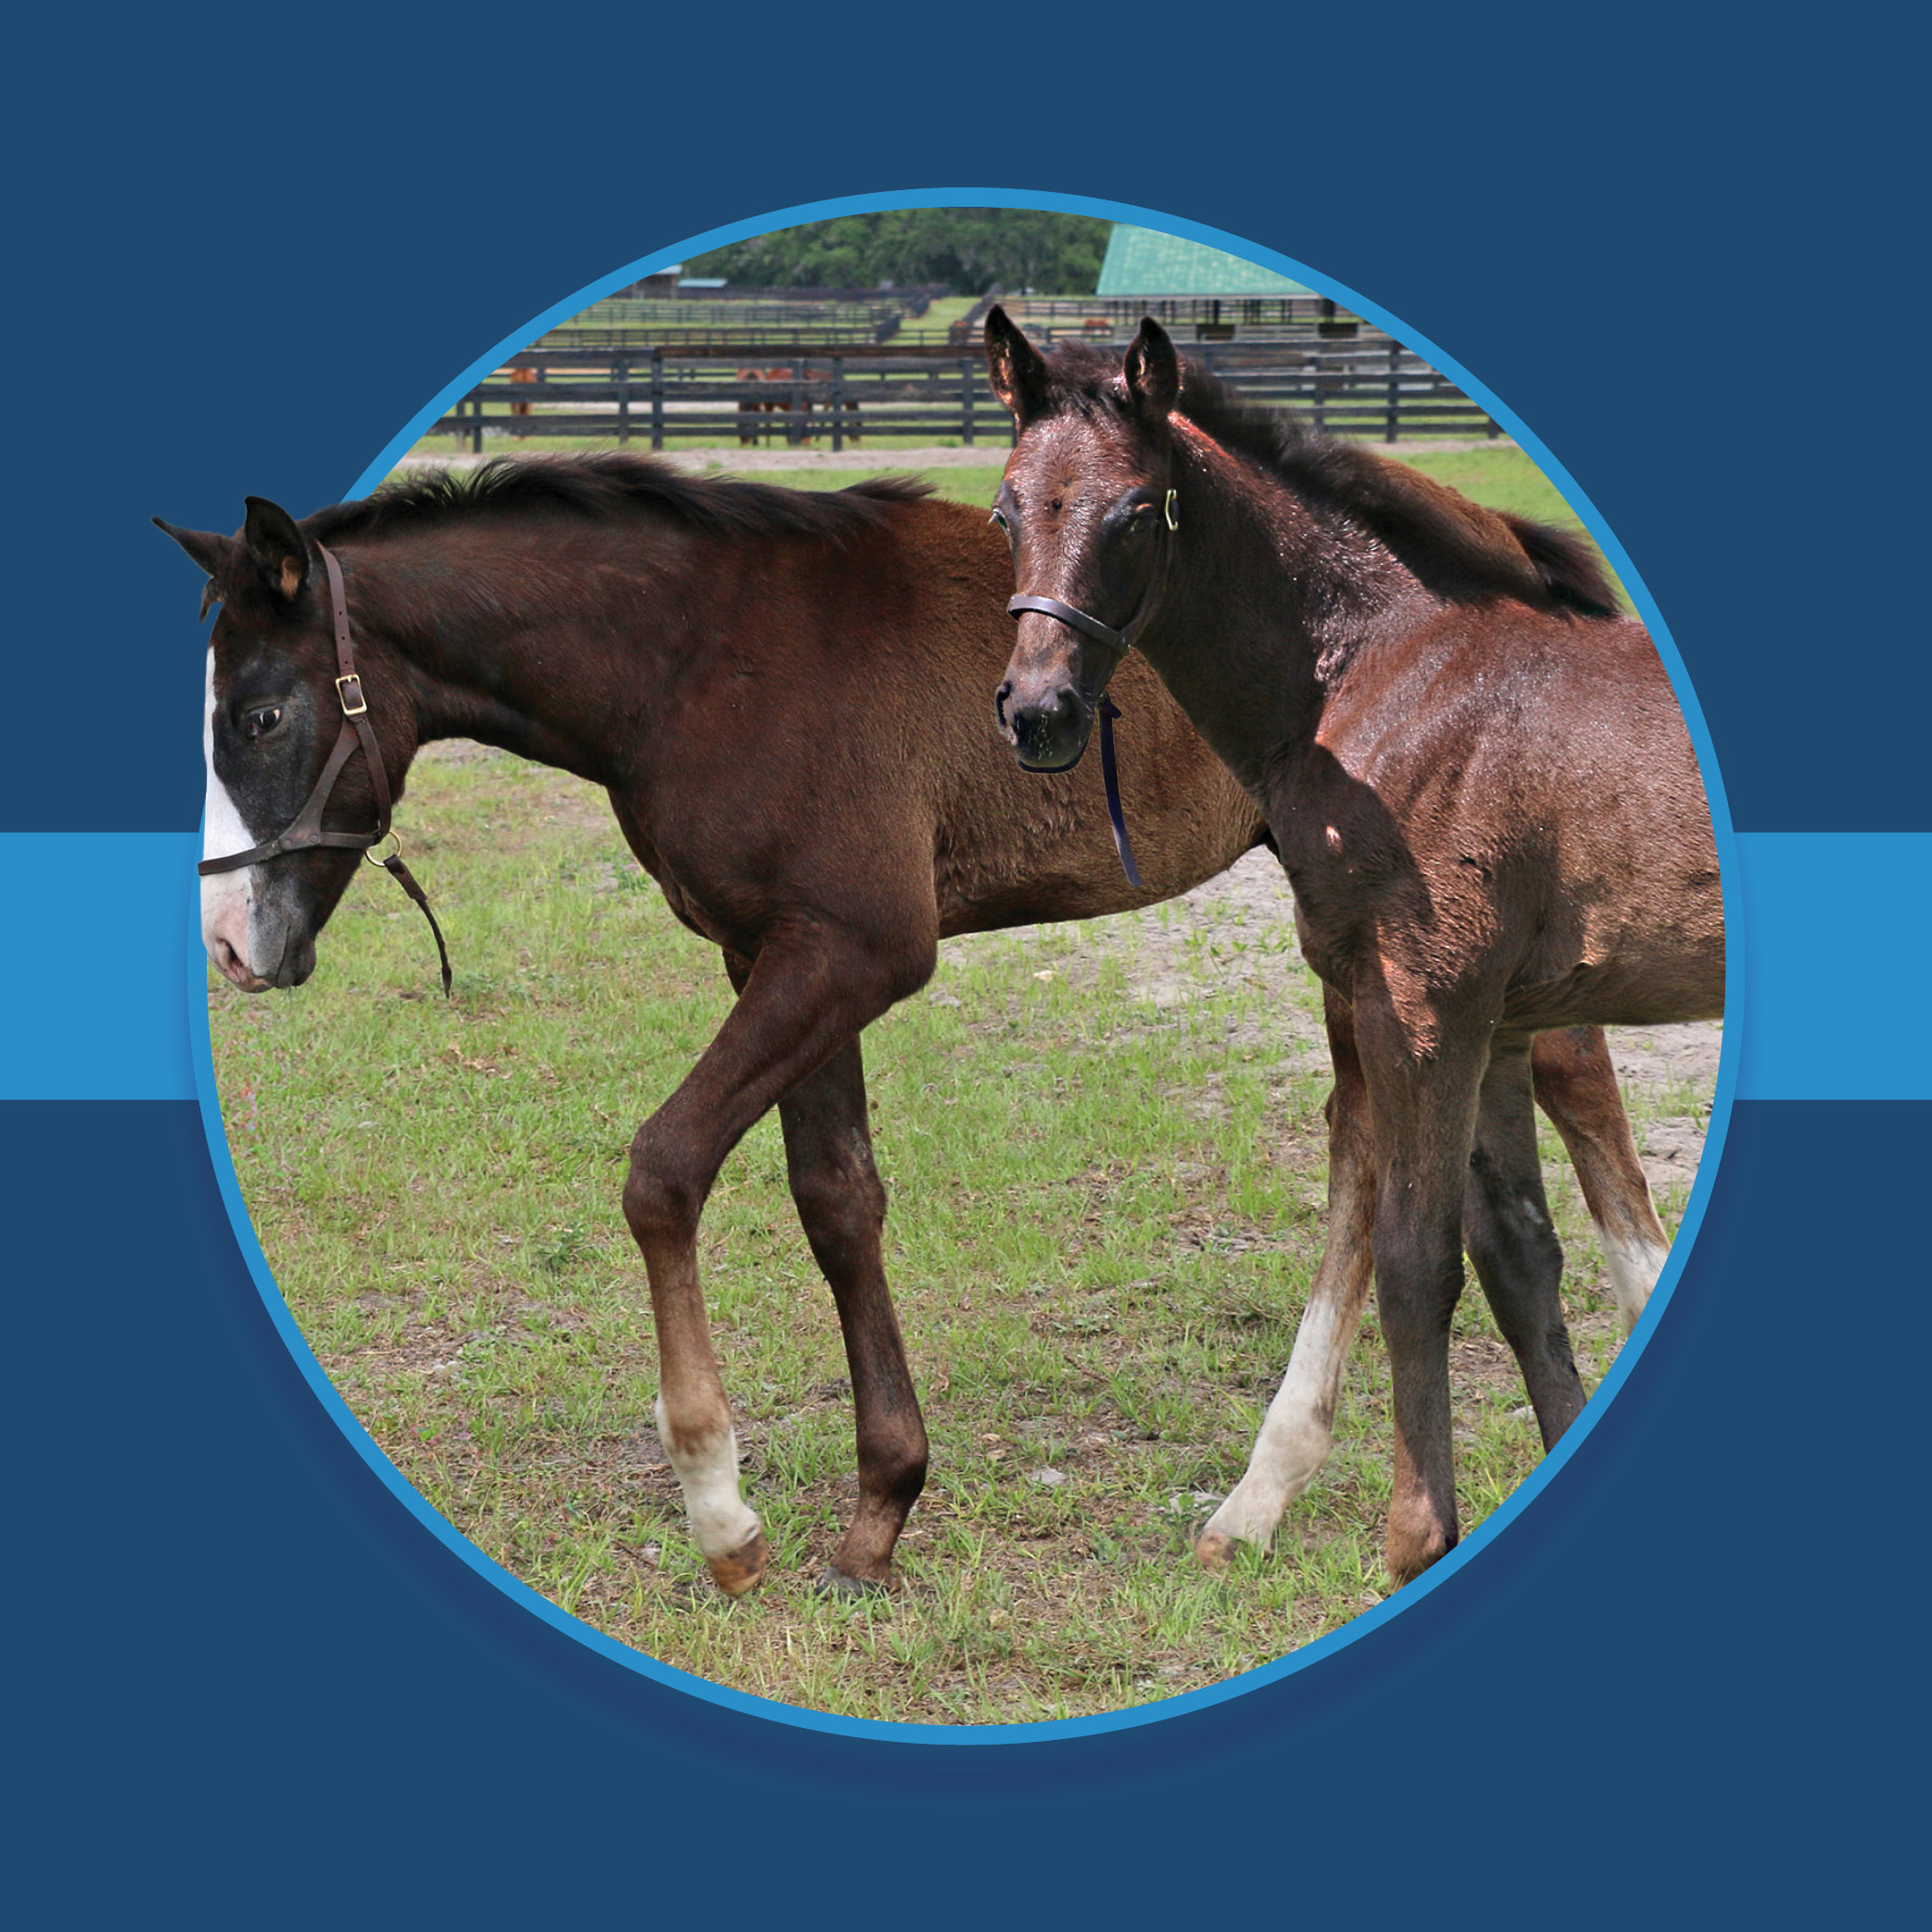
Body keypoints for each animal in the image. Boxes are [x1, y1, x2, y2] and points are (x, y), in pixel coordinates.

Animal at [158, 453, 1675, 1600]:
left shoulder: (856, 949)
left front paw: (725, 1516)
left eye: (264, 712)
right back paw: (1260, 1494)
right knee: (1383, 1134)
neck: (700, 655)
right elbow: (835, 1196)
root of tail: (1494, 538)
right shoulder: (776, 952)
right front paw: (877, 1512)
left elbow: (664, 1167)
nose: (230, 945)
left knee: (1553, 1088)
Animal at [983, 309, 1722, 1587]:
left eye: (1133, 514)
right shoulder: (1494, 1021)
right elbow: (1515, 1254)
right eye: (1004, 511)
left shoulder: (1423, 1009)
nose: (1038, 714)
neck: (1381, 674)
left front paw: (1414, 1538)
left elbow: (1415, 1261)